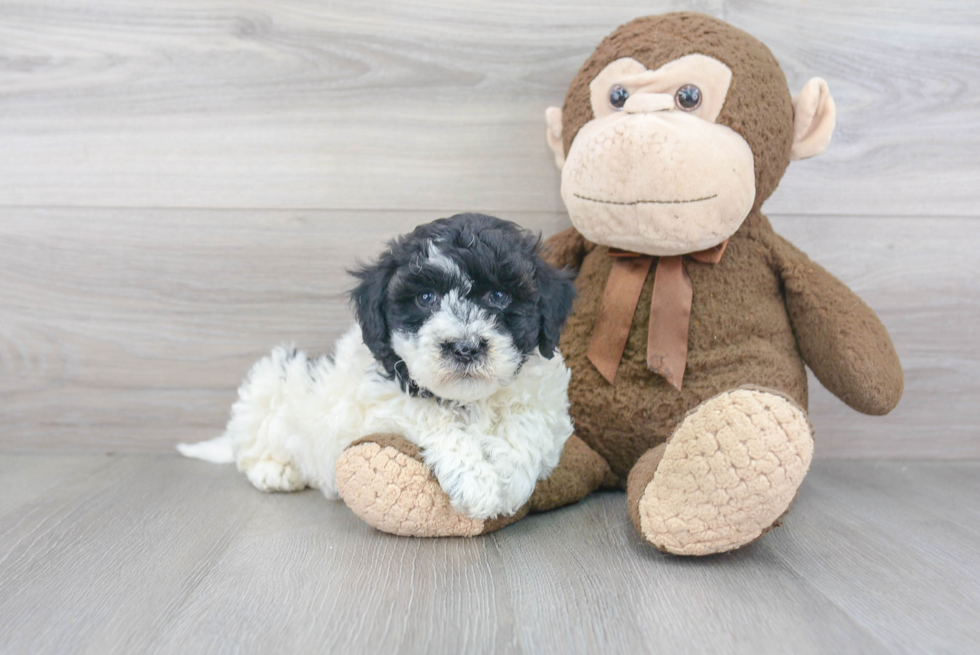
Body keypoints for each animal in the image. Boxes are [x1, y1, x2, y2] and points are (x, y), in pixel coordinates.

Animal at [177, 213, 580, 520]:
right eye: (425, 298)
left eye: (499, 296)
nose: (464, 347)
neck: (470, 400)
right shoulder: (381, 400)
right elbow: (433, 419)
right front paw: (476, 481)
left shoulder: (546, 401)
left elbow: (528, 425)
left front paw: (509, 478)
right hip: (268, 385)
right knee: (250, 448)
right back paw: (275, 470)